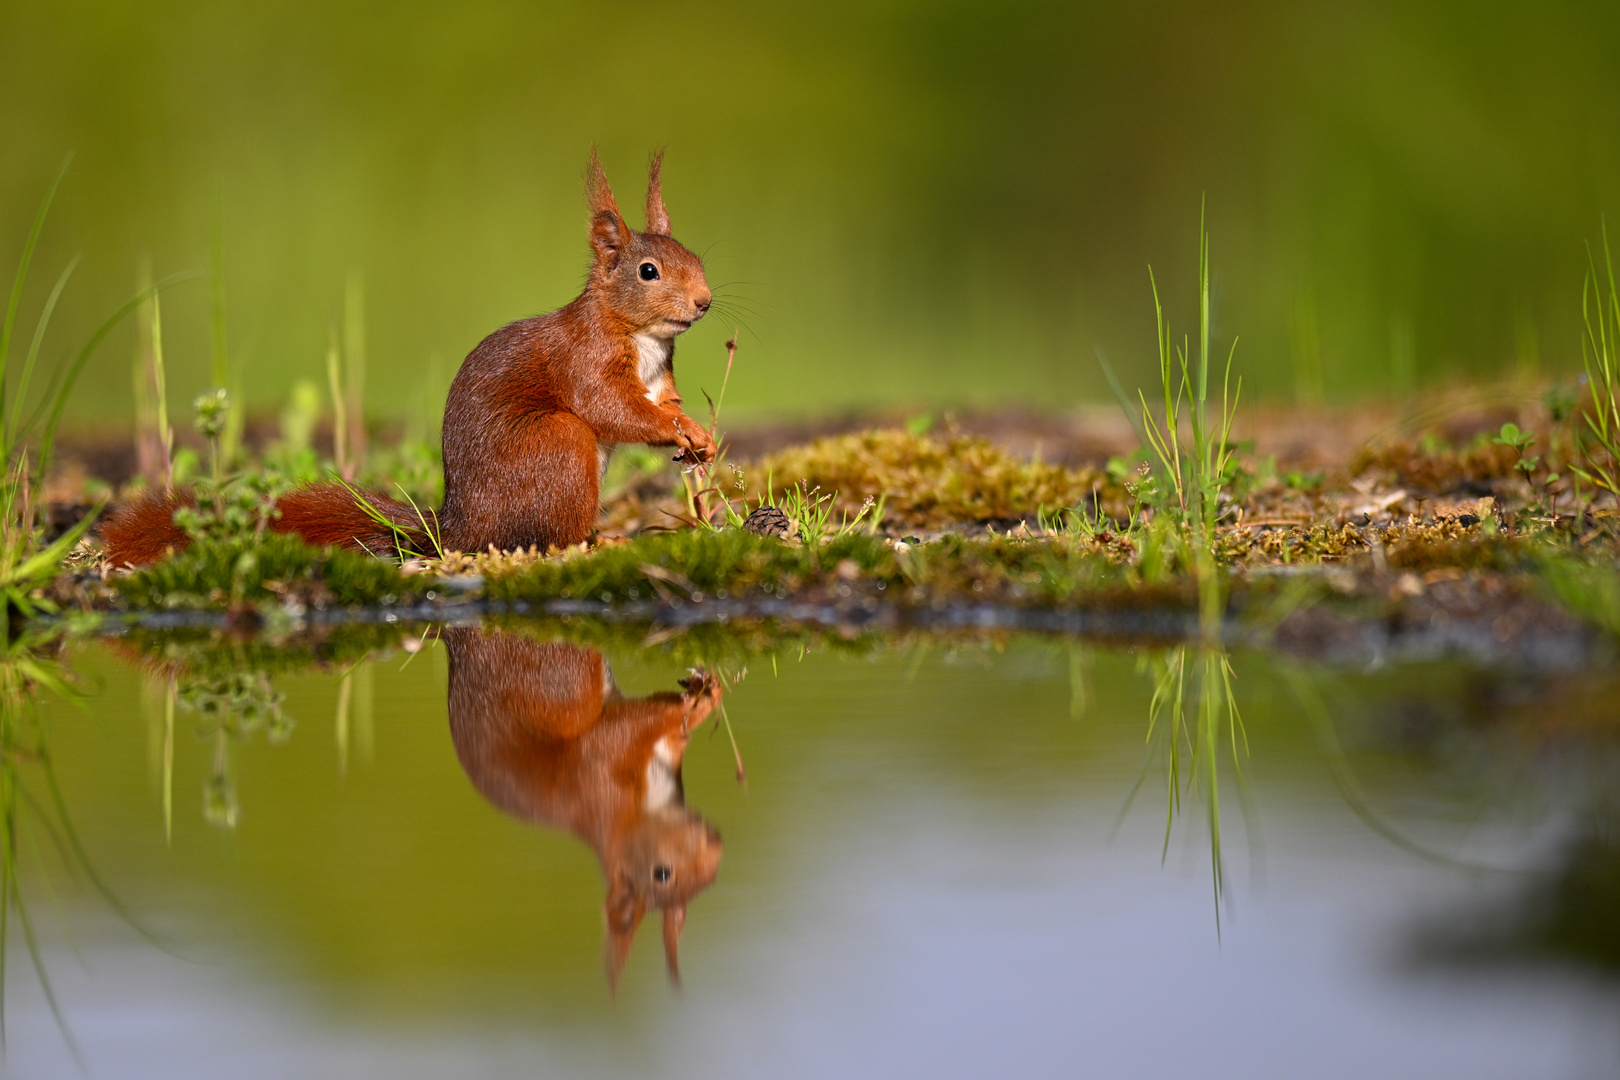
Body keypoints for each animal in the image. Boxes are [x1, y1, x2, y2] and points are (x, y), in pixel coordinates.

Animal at [98, 152, 712, 569]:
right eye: (649, 271)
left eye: (696, 256)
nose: (705, 302)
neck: (640, 334)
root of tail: (458, 532)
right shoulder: (586, 360)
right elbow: (615, 409)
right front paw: (673, 431)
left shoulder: (660, 376)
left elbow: (663, 402)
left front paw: (698, 433)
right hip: (559, 446)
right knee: (551, 534)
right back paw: (601, 539)